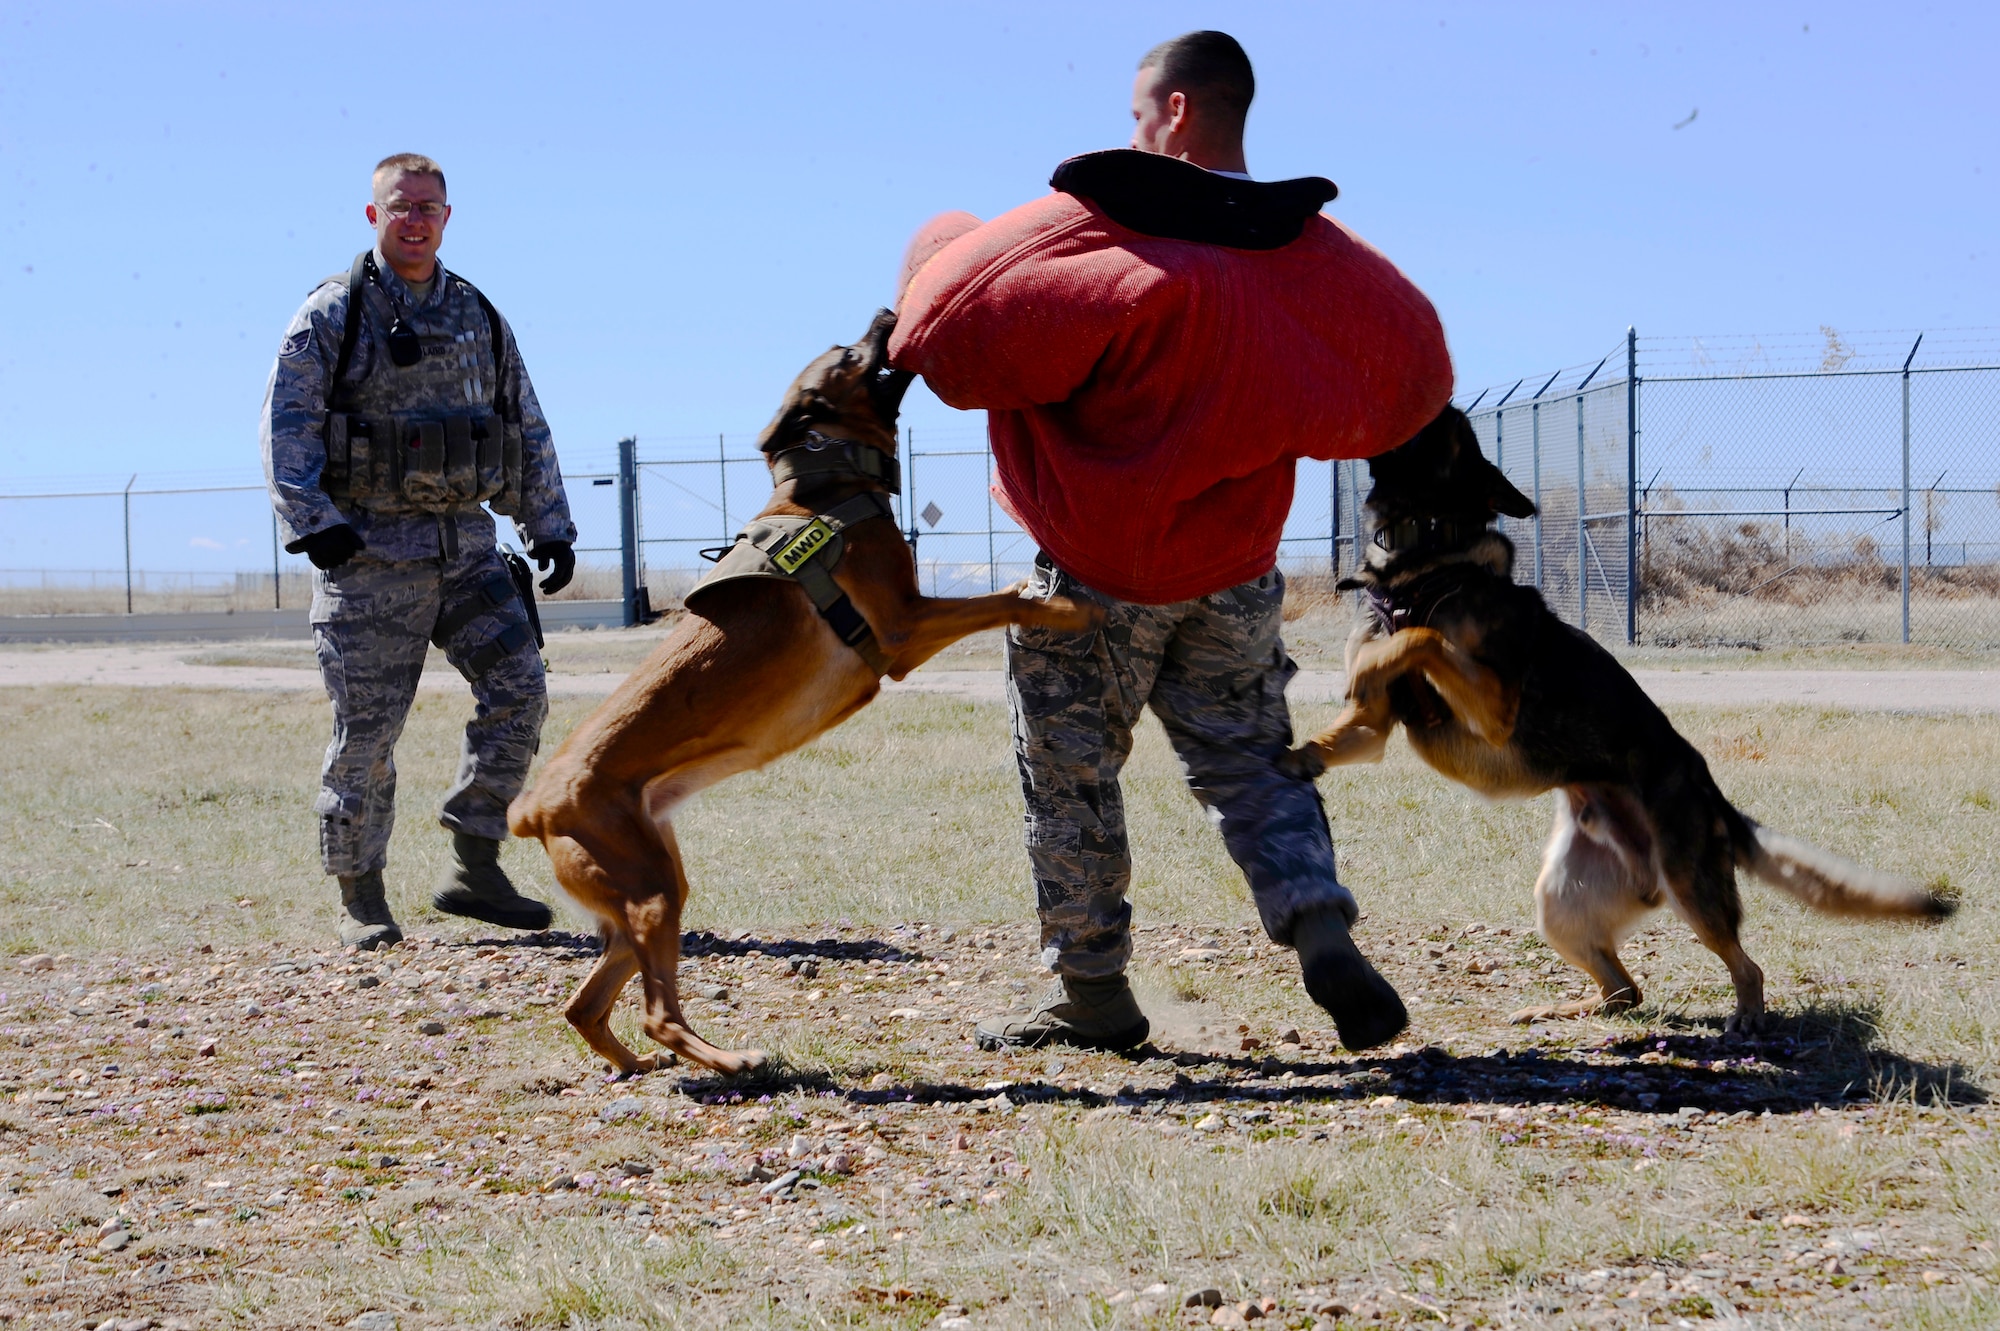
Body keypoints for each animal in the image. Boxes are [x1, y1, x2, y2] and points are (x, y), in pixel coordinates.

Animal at [500, 313, 1096, 1079]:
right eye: (847, 354)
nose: (886, 314)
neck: (824, 485)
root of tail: (533, 807)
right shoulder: (904, 626)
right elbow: (1001, 599)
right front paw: (1067, 606)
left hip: (648, 894)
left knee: (586, 1006)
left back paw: (636, 1066)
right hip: (651, 893)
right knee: (658, 1013)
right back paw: (731, 1060)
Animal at [1280, 409, 1952, 1031]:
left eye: (1453, 434)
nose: (1445, 403)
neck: (1420, 565)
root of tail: (1714, 796)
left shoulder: (1493, 707)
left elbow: (1418, 639)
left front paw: (1379, 657)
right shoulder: (1371, 727)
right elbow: (1337, 728)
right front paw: (1287, 757)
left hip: (1691, 888)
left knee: (1745, 966)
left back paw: (1746, 1016)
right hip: (1561, 901)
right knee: (1626, 992)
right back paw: (1558, 1007)